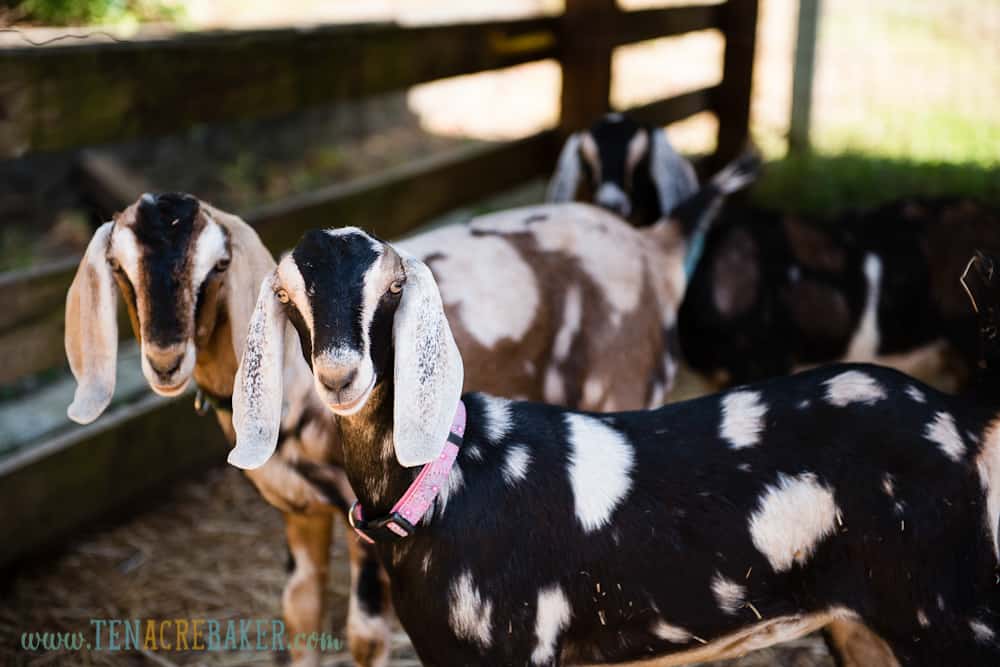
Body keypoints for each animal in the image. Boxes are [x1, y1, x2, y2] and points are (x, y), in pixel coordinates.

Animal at [230, 224, 1000, 667]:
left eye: (392, 288)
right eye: (287, 295)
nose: (341, 373)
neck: (449, 479)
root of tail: (965, 421)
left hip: (955, 617)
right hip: (865, 625)